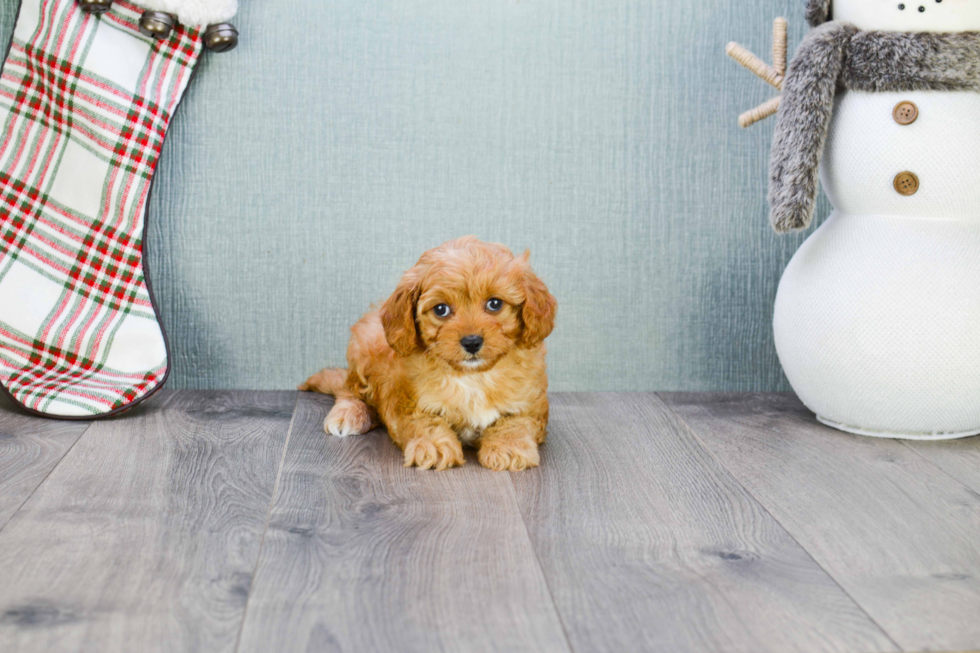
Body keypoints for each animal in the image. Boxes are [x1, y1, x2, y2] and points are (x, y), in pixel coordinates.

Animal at [298, 237, 556, 472]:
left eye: (495, 304)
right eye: (441, 309)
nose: (472, 342)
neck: (473, 377)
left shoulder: (532, 405)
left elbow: (515, 422)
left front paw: (509, 447)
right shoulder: (406, 403)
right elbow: (425, 422)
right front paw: (434, 445)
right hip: (362, 349)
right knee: (348, 389)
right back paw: (349, 414)